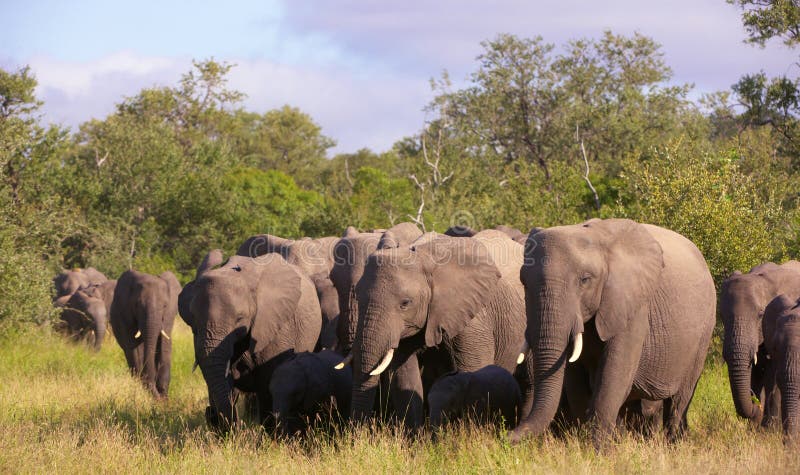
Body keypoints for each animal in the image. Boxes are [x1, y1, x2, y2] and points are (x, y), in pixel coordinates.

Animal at [110, 270, 181, 398]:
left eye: (165, 306)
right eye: (137, 305)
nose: (160, 397)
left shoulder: (169, 315)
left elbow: (165, 345)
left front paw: (163, 396)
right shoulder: (125, 315)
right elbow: (135, 349)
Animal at [350, 232, 533, 430]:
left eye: (405, 303)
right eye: (357, 296)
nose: (357, 433)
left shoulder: (473, 320)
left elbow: (473, 369)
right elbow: (404, 375)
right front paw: (415, 437)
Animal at [509, 218, 715, 446]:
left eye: (585, 280)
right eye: (523, 282)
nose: (507, 436)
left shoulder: (633, 305)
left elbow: (614, 376)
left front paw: (598, 450)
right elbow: (575, 381)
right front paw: (593, 447)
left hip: (704, 333)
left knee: (679, 401)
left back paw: (672, 445)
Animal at [720, 260, 800, 427]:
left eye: (761, 314)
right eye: (721, 315)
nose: (756, 404)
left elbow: (772, 375)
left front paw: (768, 428)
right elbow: (755, 373)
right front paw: (754, 427)